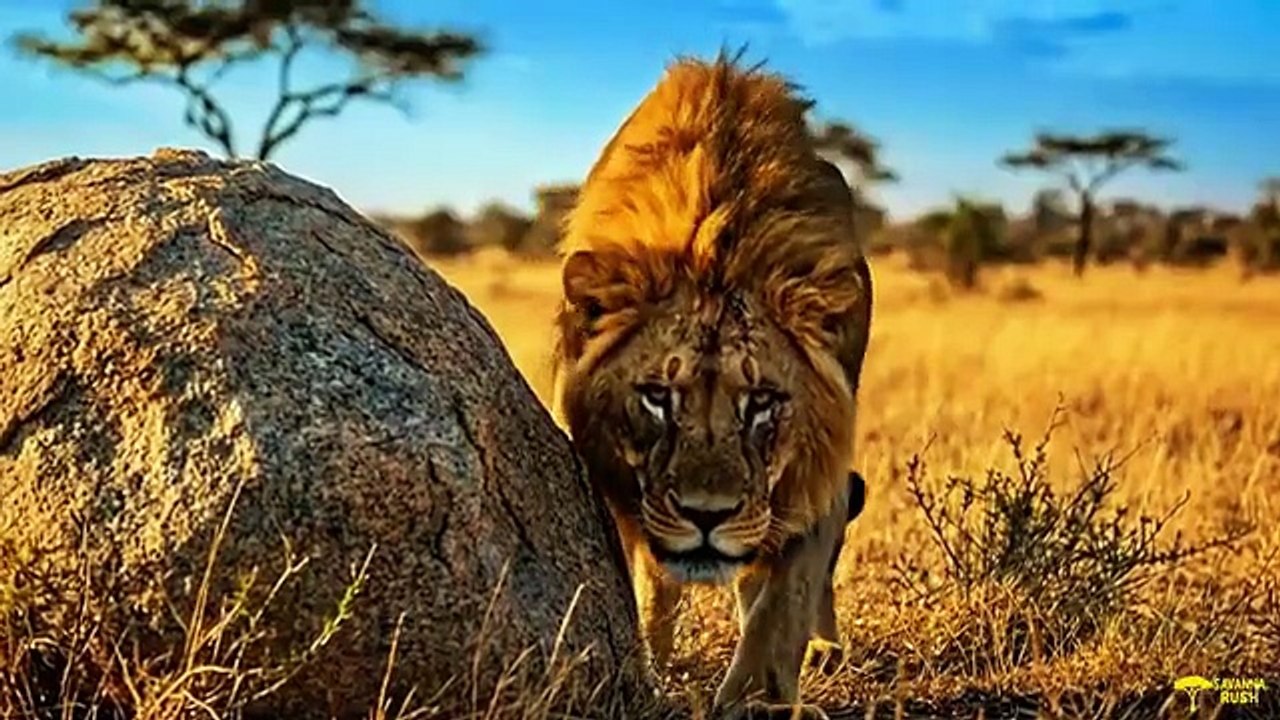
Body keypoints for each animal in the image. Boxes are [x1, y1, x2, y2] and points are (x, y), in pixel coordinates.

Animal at [552, 54, 873, 719]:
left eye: (762, 402)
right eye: (657, 396)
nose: (707, 516)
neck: (714, 246)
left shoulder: (819, 469)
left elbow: (785, 600)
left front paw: (760, 701)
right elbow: (646, 583)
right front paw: (650, 672)